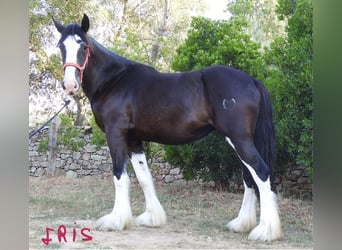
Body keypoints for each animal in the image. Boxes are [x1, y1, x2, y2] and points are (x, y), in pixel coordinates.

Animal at [53, 13, 282, 240]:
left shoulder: (115, 133)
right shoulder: (134, 140)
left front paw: (115, 220)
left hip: (239, 138)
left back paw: (265, 231)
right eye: (61, 46)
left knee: (260, 172)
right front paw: (152, 218)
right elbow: (144, 177)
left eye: (83, 46)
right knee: (248, 177)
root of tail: (251, 80)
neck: (113, 80)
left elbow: (119, 176)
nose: (70, 85)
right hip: (240, 140)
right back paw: (242, 224)